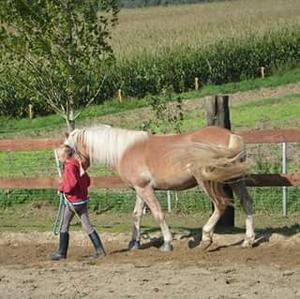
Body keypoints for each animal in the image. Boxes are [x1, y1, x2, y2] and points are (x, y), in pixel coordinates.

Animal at [64, 125, 254, 252]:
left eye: (68, 150)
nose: (65, 167)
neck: (125, 150)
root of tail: (231, 135)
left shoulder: (146, 189)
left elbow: (158, 214)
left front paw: (167, 243)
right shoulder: (140, 190)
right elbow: (137, 215)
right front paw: (134, 243)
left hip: (207, 181)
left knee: (221, 204)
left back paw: (206, 238)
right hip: (235, 178)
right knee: (246, 202)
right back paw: (248, 240)